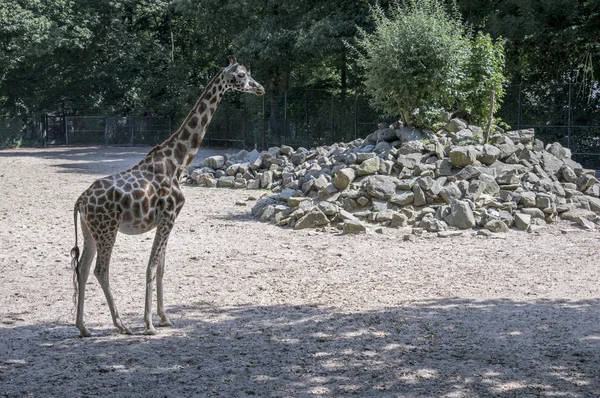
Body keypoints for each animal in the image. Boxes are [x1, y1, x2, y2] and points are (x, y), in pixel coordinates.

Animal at [69, 56, 264, 336]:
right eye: (240, 75)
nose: (260, 88)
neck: (177, 162)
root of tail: (81, 200)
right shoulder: (168, 216)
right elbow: (152, 266)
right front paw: (149, 323)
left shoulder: (167, 220)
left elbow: (161, 267)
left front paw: (164, 317)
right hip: (108, 229)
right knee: (100, 270)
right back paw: (121, 324)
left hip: (90, 230)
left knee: (82, 269)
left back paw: (83, 327)